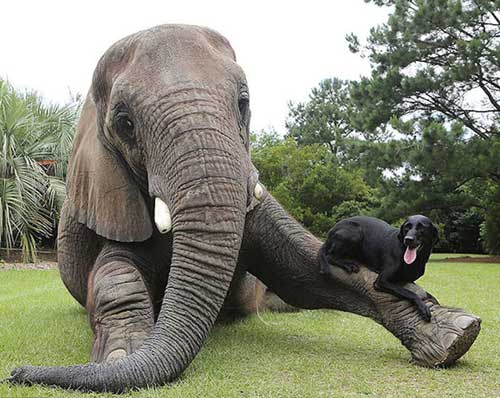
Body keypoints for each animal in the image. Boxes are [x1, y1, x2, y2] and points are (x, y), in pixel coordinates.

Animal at [5, 25, 478, 394]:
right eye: (124, 123)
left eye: (243, 102)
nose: (15, 373)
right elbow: (113, 275)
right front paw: (121, 358)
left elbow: (305, 267)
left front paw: (455, 333)